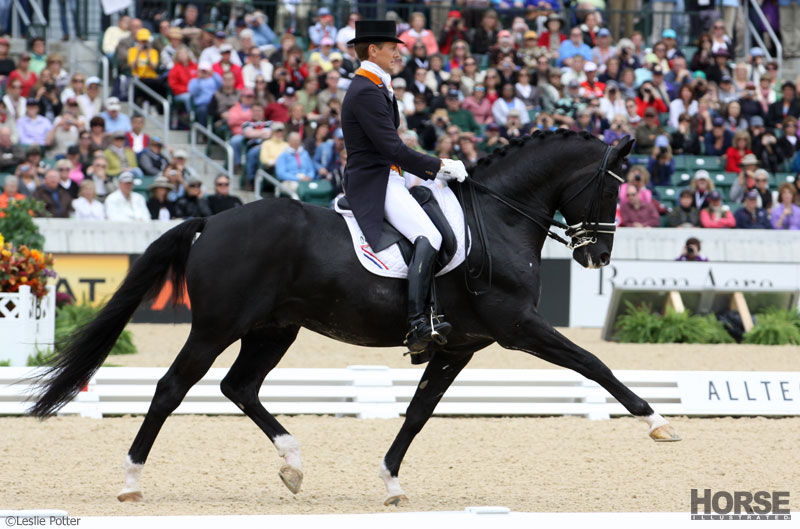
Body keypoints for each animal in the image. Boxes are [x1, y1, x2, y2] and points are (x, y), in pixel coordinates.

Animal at [32, 130, 680, 506]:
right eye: (612, 190)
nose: (597, 257)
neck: (498, 218)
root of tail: (211, 220)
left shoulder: (459, 346)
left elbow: (419, 412)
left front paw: (391, 480)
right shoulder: (517, 328)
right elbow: (594, 363)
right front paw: (658, 423)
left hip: (274, 329)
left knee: (239, 386)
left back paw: (293, 465)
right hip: (217, 327)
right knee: (172, 387)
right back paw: (131, 480)